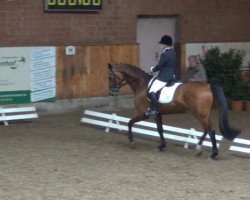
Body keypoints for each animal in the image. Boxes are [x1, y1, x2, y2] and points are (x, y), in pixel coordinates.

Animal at [107, 63, 240, 159]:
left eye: (110, 77)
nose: (112, 92)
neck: (141, 83)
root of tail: (208, 86)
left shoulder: (144, 114)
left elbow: (130, 122)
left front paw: (131, 140)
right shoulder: (158, 114)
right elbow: (160, 129)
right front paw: (162, 146)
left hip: (199, 114)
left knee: (210, 130)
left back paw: (212, 154)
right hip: (203, 114)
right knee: (208, 130)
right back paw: (199, 148)